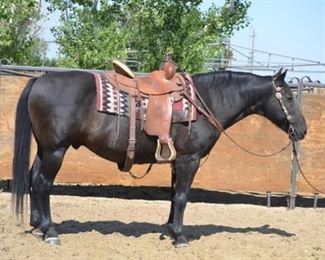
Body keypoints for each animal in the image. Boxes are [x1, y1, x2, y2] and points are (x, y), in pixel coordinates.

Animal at [12, 68, 306, 247]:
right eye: (289, 97)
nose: (303, 130)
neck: (207, 101)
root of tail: (39, 80)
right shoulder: (189, 159)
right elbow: (183, 196)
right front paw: (181, 237)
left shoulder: (178, 161)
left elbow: (174, 196)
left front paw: (170, 229)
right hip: (56, 150)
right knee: (43, 183)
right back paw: (50, 231)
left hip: (45, 149)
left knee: (34, 177)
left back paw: (37, 224)